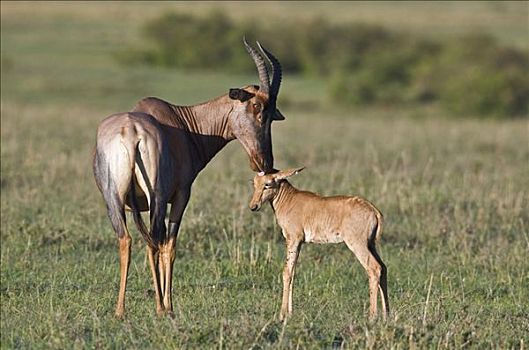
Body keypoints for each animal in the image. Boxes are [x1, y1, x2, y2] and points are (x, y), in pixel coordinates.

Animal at [95, 39, 284, 318]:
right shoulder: (180, 196)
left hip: (113, 200)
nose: (264, 163)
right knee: (156, 242)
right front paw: (169, 305)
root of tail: (131, 132)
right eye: (257, 108)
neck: (182, 123)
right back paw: (161, 307)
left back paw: (120, 309)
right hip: (157, 198)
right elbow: (170, 247)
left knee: (127, 240)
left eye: (271, 114)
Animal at [248, 168, 388, 322]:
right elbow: (293, 272)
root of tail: (374, 211)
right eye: (254, 183)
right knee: (383, 268)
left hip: (358, 244)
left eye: (267, 184)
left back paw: (372, 317)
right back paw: (386, 315)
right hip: (371, 245)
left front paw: (282, 315)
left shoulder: (293, 239)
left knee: (374, 268)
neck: (290, 199)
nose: (253, 206)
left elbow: (287, 272)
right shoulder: (299, 243)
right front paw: (289, 313)